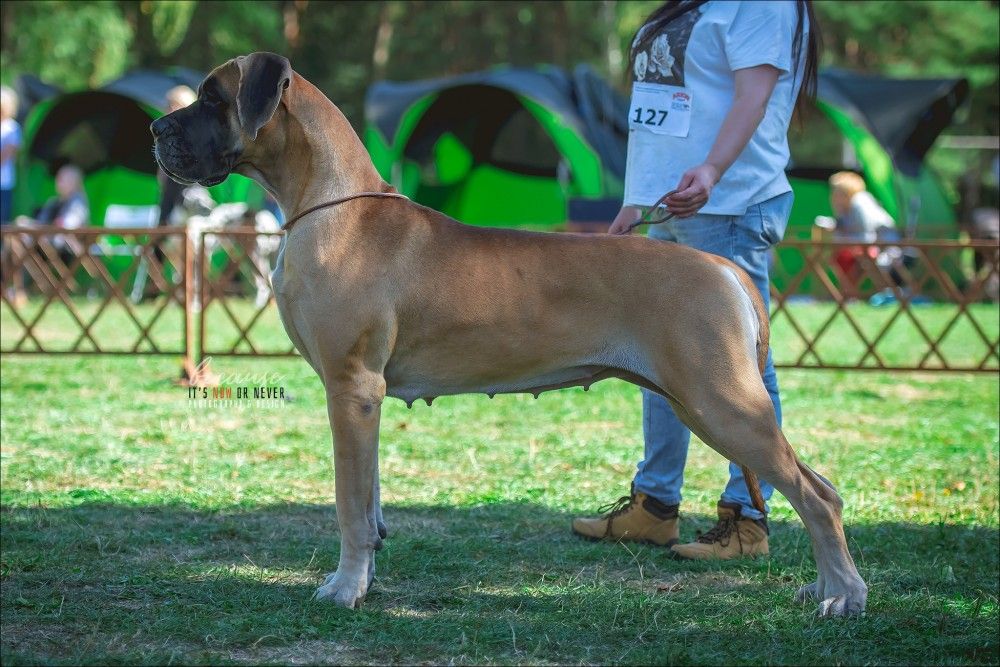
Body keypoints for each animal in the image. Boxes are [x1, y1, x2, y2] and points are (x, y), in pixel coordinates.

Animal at [151, 52, 868, 616]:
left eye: (213, 98)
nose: (156, 127)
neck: (330, 205)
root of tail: (723, 267)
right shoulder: (364, 398)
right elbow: (372, 500)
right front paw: (368, 575)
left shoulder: (350, 389)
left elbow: (349, 503)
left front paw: (345, 588)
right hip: (713, 405)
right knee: (823, 487)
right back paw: (824, 585)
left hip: (723, 404)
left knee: (816, 497)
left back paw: (842, 595)